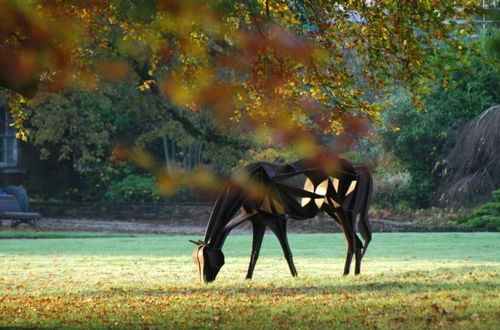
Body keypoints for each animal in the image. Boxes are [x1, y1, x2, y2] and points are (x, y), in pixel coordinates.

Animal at [190, 155, 372, 284]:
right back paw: (356, 273)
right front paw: (248, 278)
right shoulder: (259, 221)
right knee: (358, 243)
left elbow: (287, 252)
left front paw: (295, 276)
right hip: (332, 210)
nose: (204, 281)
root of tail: (359, 167)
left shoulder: (277, 219)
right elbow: (254, 252)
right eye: (196, 260)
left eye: (207, 259)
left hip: (344, 211)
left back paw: (346, 273)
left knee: (352, 243)